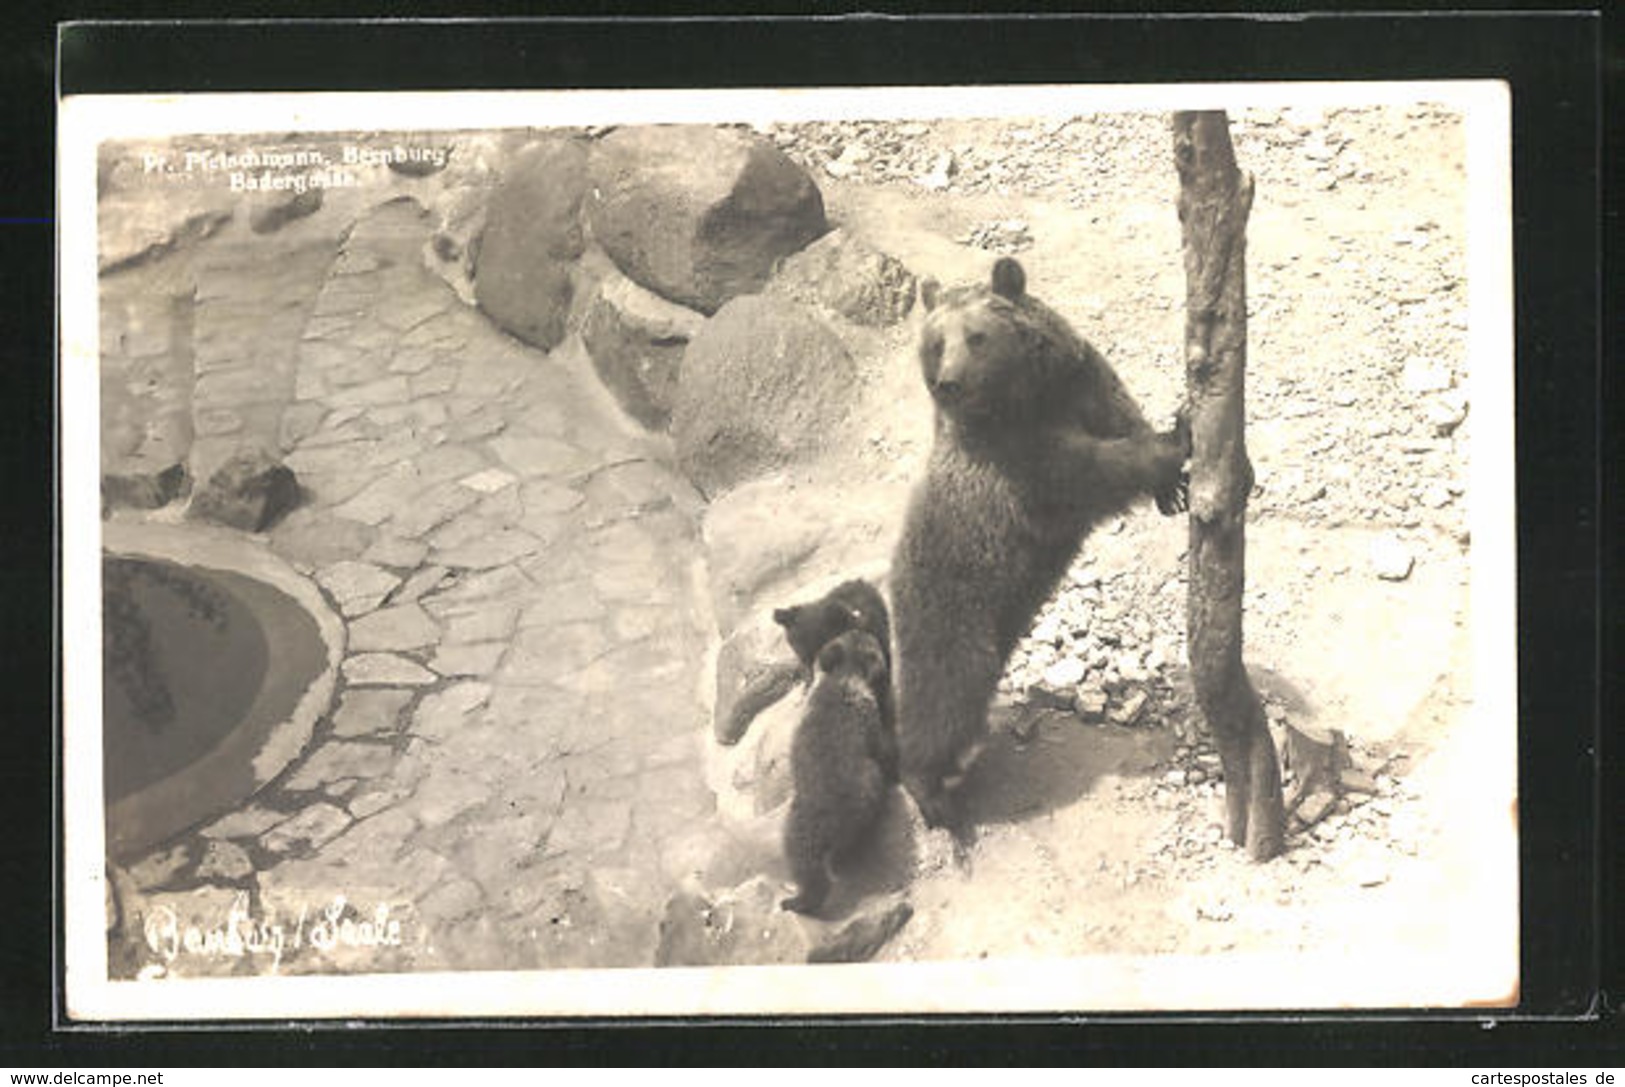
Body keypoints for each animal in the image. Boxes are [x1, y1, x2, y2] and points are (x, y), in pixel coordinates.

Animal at [897, 258, 1189, 838]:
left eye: (976, 336)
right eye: (938, 342)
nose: (949, 382)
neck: (1028, 397)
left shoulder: (1086, 382)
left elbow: (1122, 415)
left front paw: (1173, 486)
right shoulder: (1020, 462)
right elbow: (1091, 469)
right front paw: (1176, 440)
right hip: (950, 608)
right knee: (942, 694)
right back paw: (930, 791)